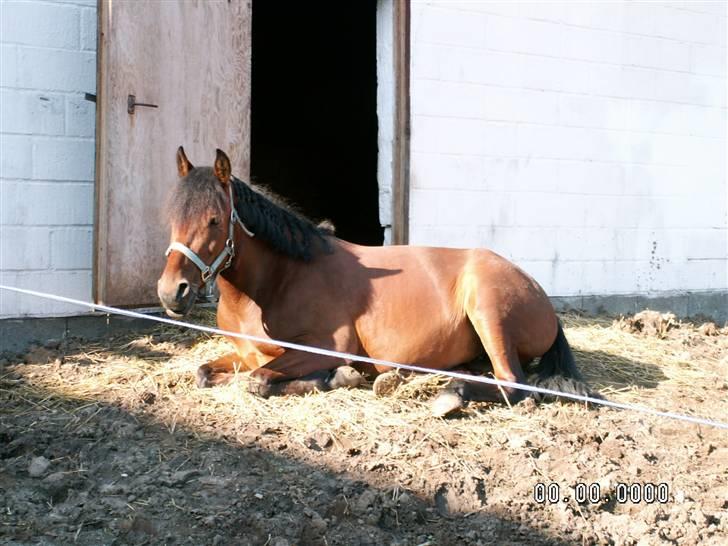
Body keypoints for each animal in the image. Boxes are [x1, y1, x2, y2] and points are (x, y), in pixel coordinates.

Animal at [156, 147, 596, 414]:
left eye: (214, 220)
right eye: (172, 216)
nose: (171, 291)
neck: (280, 281)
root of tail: (537, 290)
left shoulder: (324, 348)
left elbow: (259, 380)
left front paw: (339, 376)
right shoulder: (244, 353)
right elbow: (206, 372)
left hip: (489, 313)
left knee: (514, 385)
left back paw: (449, 395)